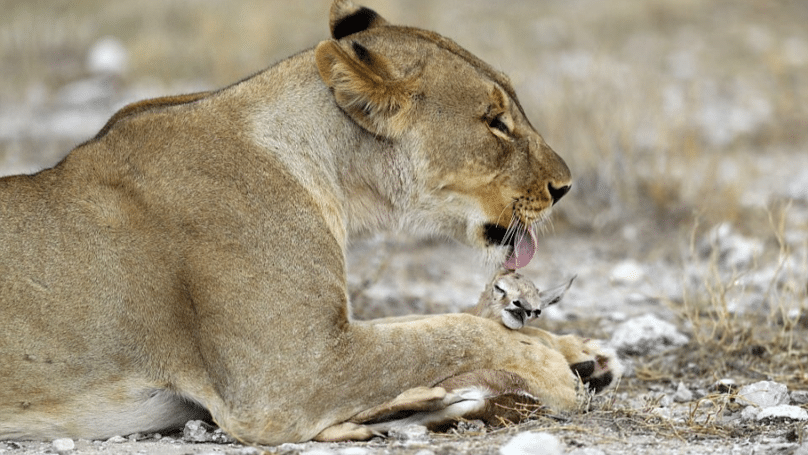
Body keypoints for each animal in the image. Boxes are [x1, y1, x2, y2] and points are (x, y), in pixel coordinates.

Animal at [0, 0, 619, 445]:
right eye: (495, 122)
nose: (565, 187)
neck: (331, 178)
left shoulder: (324, 339)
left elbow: (435, 323)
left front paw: (577, 351)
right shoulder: (288, 375)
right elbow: (450, 331)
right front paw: (554, 370)